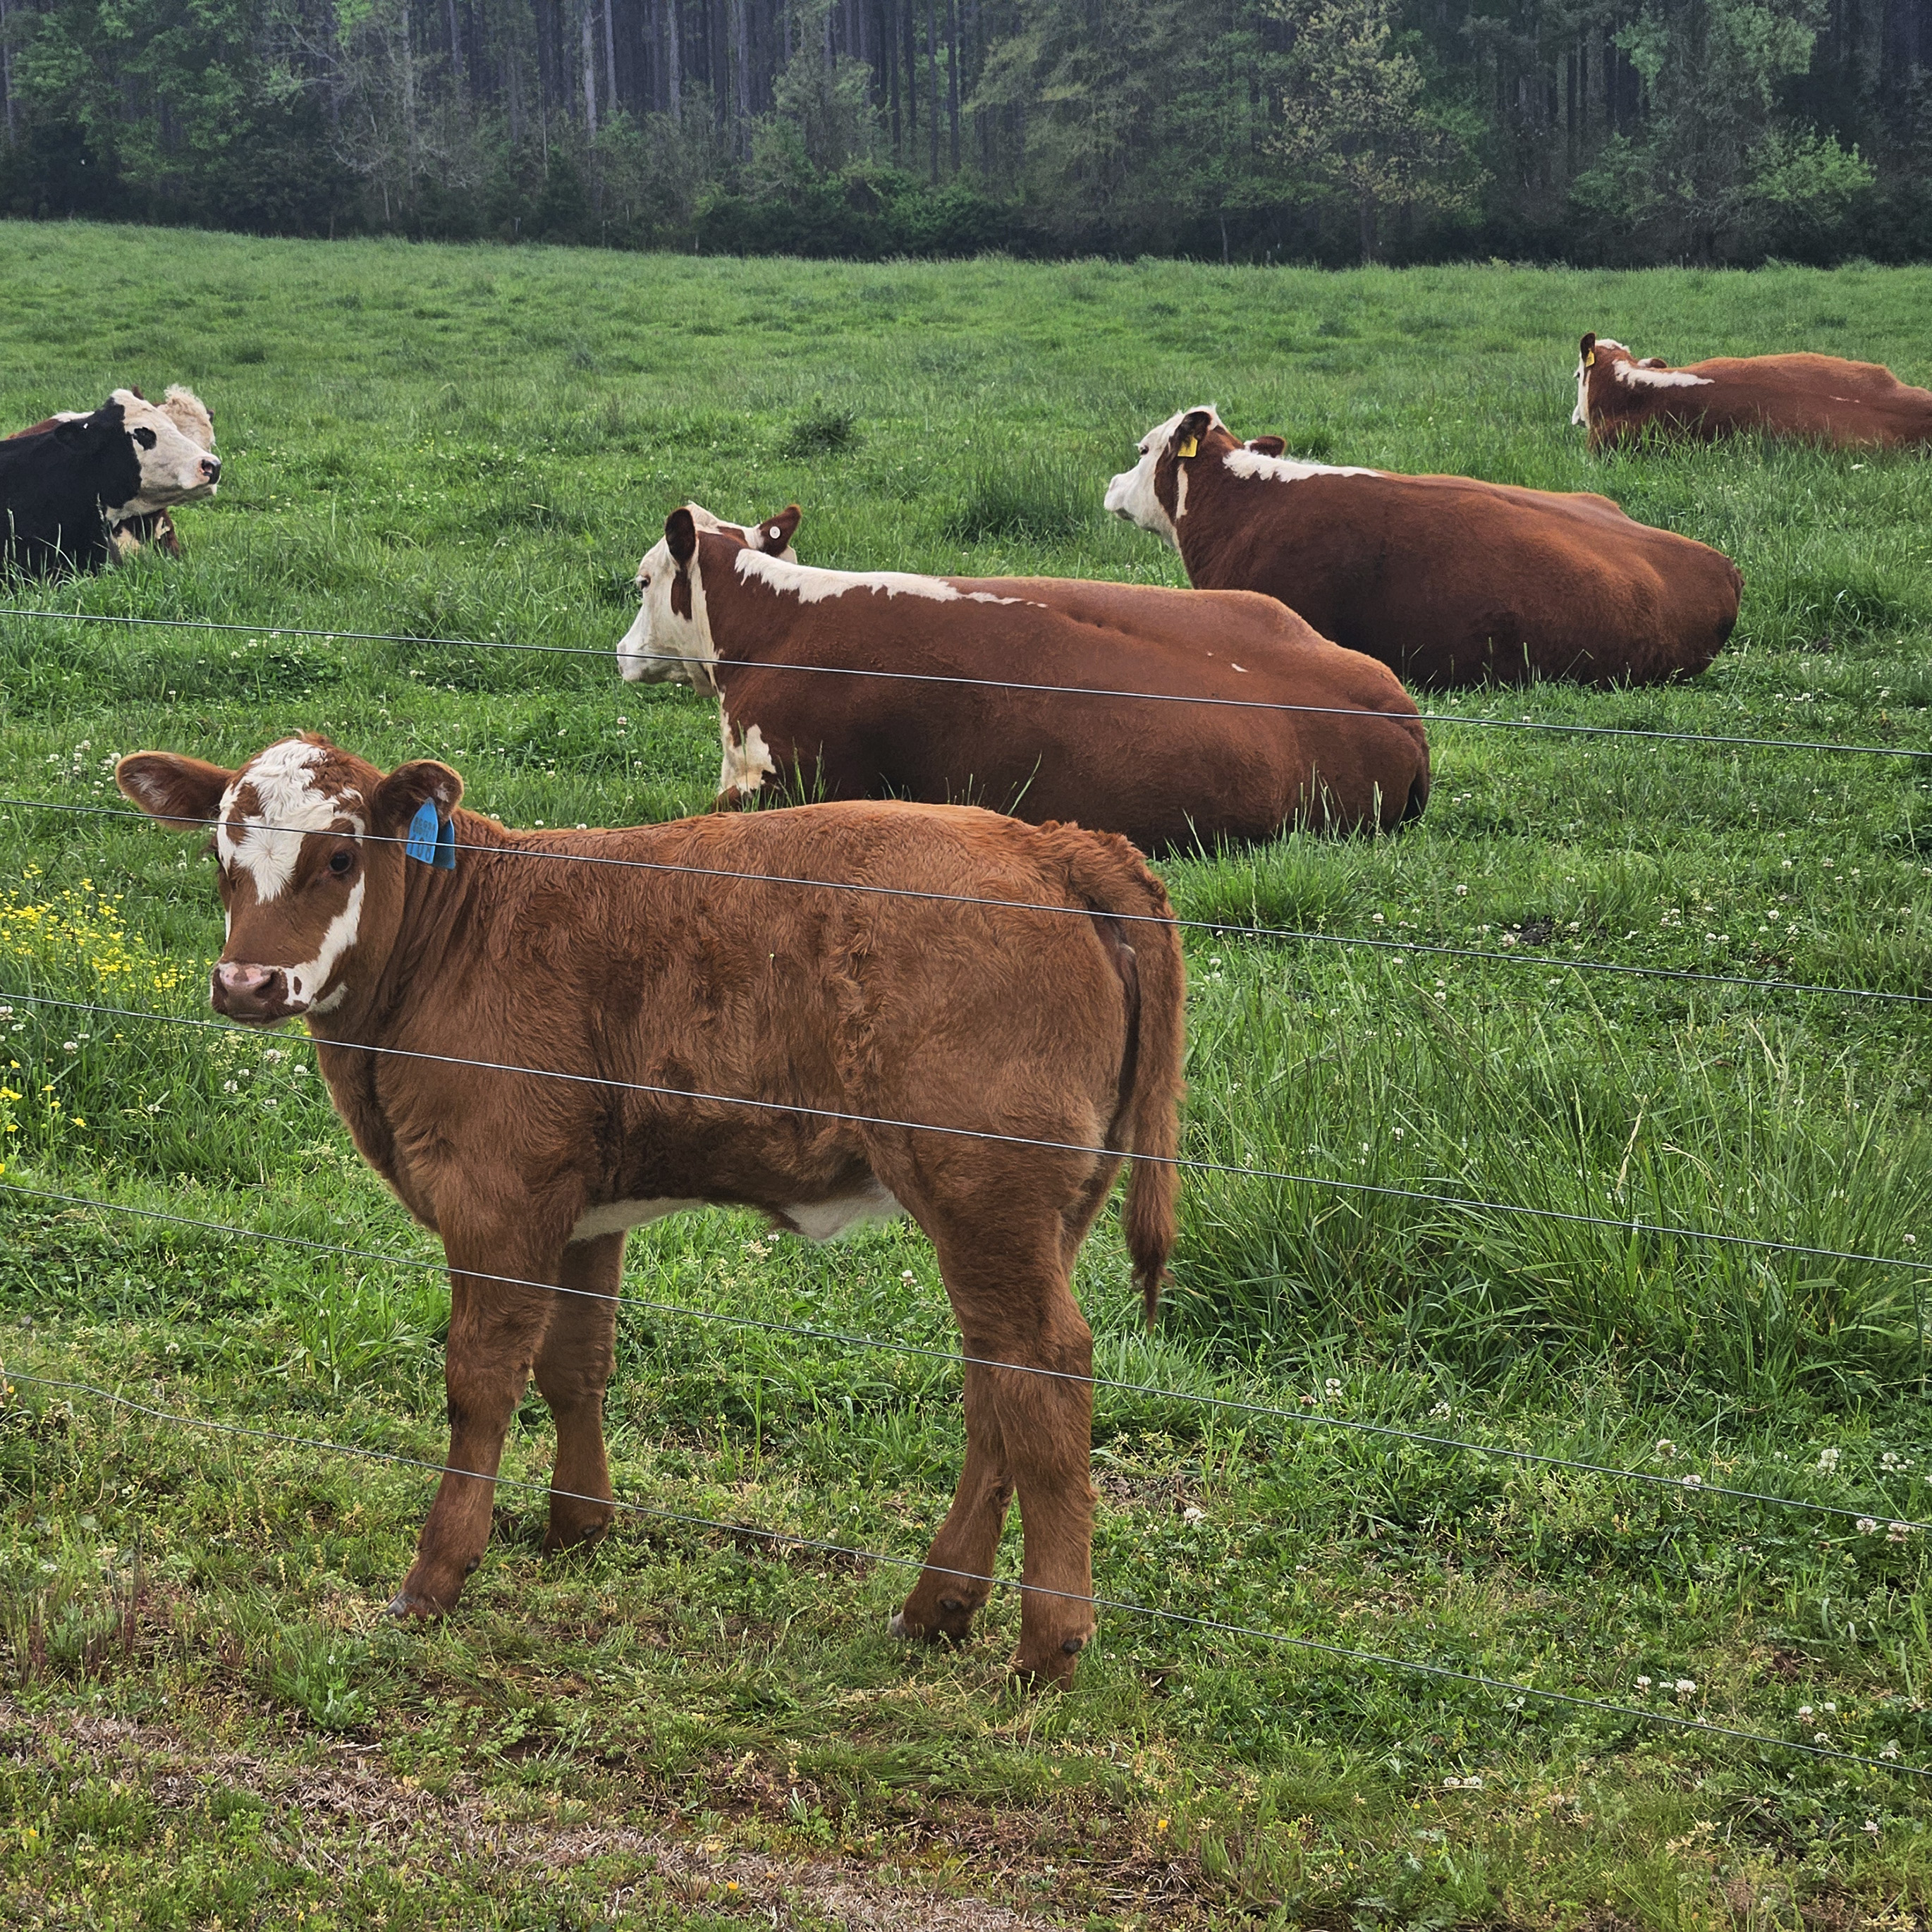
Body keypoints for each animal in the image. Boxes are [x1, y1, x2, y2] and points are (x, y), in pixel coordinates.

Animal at [124, 730, 1190, 1685]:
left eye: (341, 856)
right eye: (220, 857)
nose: (247, 982)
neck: (453, 939)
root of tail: (1054, 844)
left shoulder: (496, 1194)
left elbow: (480, 1382)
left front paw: (436, 1575)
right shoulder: (580, 1209)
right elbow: (575, 1364)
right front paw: (577, 1525)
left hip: (986, 1189)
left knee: (1045, 1369)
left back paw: (1048, 1644)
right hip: (1039, 1209)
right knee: (996, 1379)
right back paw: (937, 1606)